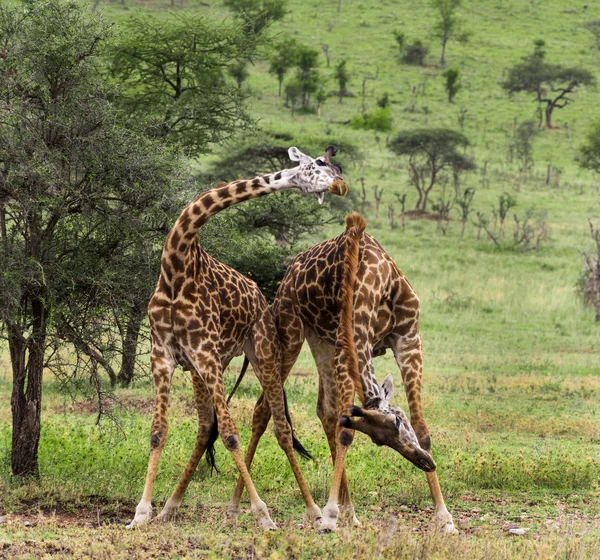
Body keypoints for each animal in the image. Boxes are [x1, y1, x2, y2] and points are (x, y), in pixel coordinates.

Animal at [126, 145, 346, 528]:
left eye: (335, 167)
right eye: (319, 164)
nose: (340, 185)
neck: (176, 268)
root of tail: (261, 300)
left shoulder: (204, 354)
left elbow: (231, 434)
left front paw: (262, 514)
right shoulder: (164, 355)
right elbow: (158, 433)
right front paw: (141, 513)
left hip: (260, 353)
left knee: (280, 429)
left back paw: (314, 509)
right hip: (207, 366)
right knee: (204, 427)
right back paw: (171, 506)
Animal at [227, 212, 458, 532]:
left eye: (398, 424)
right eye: (379, 439)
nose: (426, 463)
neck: (374, 281)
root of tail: (289, 272)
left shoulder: (409, 339)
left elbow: (422, 430)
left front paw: (444, 517)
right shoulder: (346, 347)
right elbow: (346, 432)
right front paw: (329, 515)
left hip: (320, 341)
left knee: (325, 411)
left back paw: (350, 513)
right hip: (292, 333)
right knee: (265, 409)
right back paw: (240, 507)